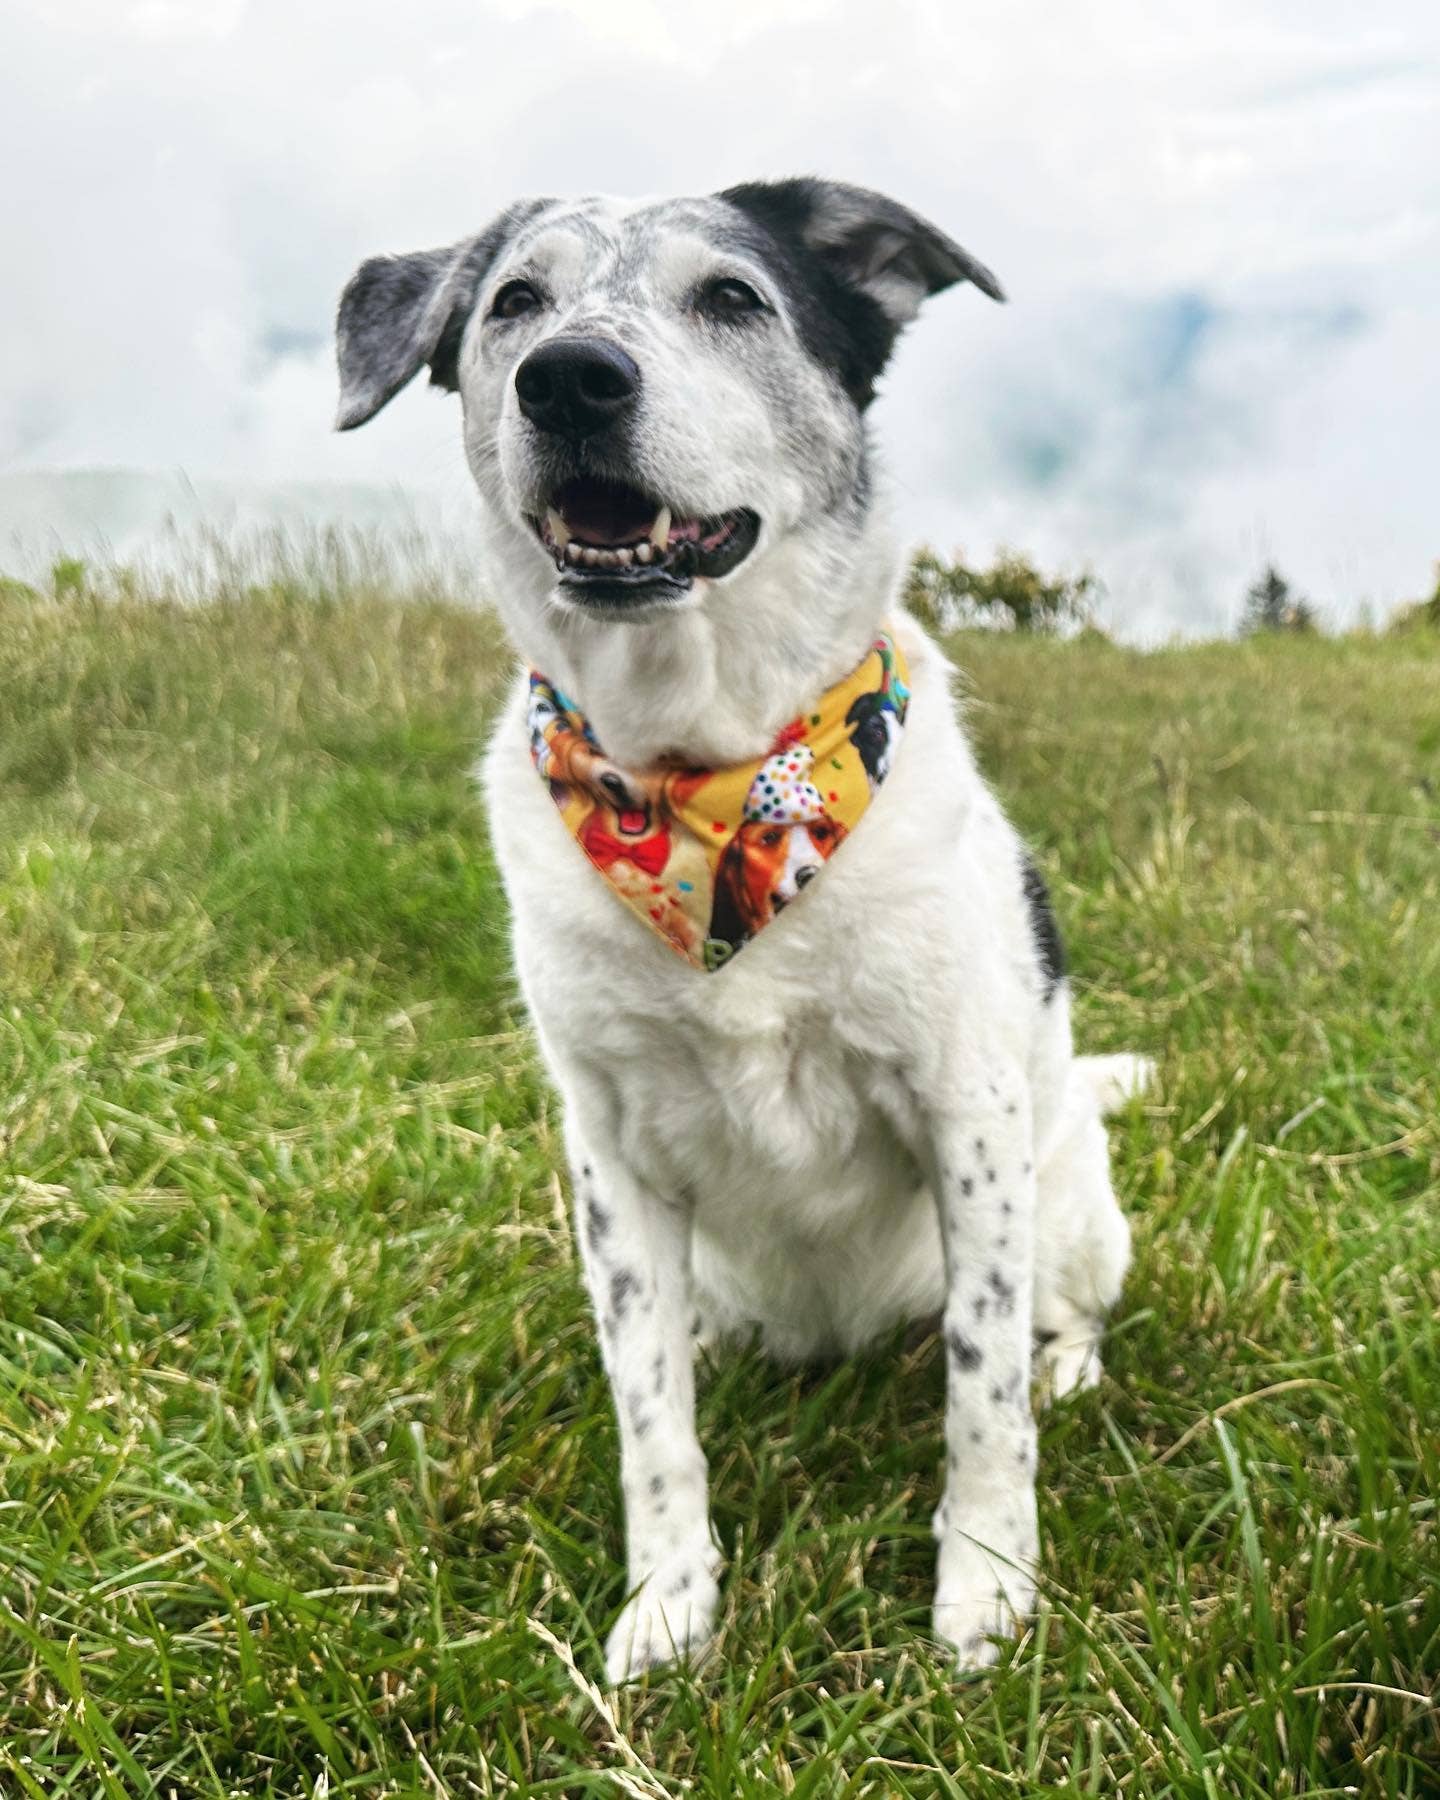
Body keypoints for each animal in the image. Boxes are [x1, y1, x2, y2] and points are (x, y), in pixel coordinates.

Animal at [335, 178, 1149, 1681]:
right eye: (514, 303)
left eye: (731, 297)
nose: (570, 379)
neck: (701, 778)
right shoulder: (610, 1158)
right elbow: (650, 1418)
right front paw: (670, 1604)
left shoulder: (966, 1117)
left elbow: (982, 1388)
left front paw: (987, 1584)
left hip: (1067, 1191)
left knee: (1054, 1316)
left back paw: (1067, 1365)